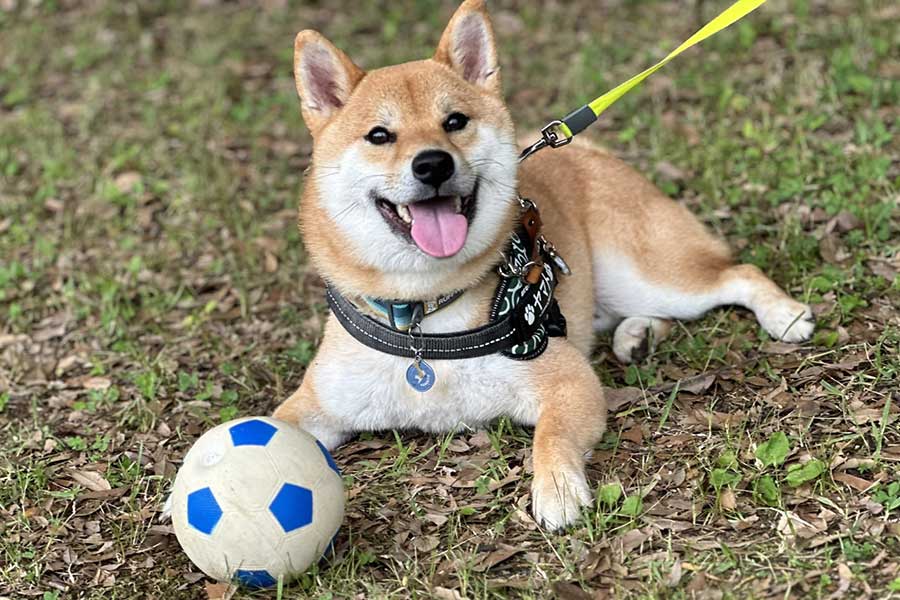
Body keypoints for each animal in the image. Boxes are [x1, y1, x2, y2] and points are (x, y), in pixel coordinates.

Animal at [270, 0, 812, 528]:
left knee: (737, 275)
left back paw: (785, 316)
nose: (432, 164)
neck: (423, 317)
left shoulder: (568, 382)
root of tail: (585, 149)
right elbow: (269, 428)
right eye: (379, 135)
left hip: (649, 275)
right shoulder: (316, 402)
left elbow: (549, 437)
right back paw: (637, 335)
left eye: (455, 122)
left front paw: (557, 489)